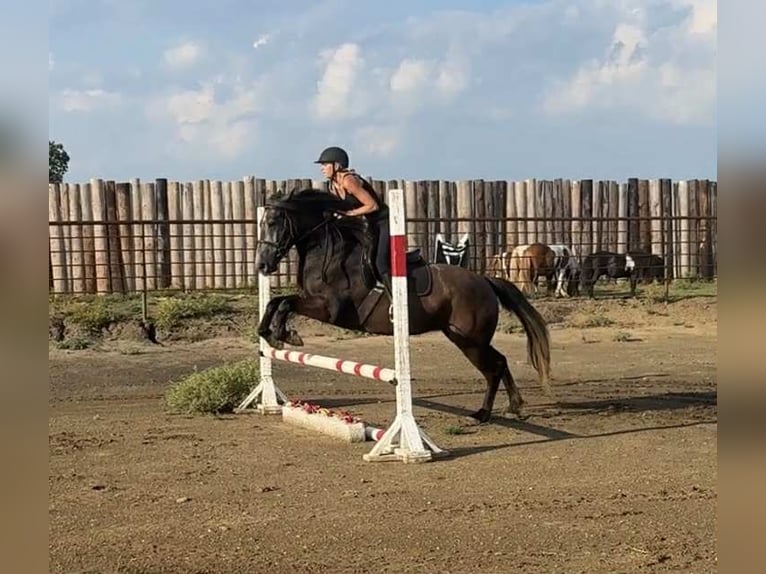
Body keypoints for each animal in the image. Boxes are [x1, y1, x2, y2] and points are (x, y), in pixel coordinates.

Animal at [255, 189, 551, 423]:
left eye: (273, 222)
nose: (262, 265)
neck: (329, 252)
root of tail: (484, 280)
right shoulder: (311, 301)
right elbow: (274, 302)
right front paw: (270, 333)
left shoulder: (329, 308)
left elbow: (285, 304)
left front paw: (283, 335)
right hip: (463, 337)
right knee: (500, 361)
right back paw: (514, 406)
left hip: (471, 340)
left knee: (495, 367)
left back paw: (483, 413)